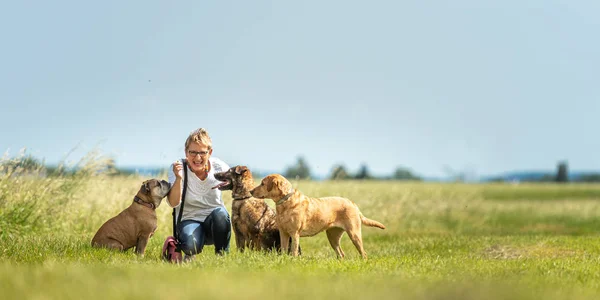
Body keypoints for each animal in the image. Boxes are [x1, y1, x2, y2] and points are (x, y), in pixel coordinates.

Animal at [252, 173, 384, 258]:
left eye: (263, 183)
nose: (250, 191)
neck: (285, 201)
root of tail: (353, 204)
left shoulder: (294, 233)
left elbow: (294, 251)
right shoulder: (283, 232)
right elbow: (284, 249)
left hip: (354, 234)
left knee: (363, 253)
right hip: (332, 236)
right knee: (341, 254)